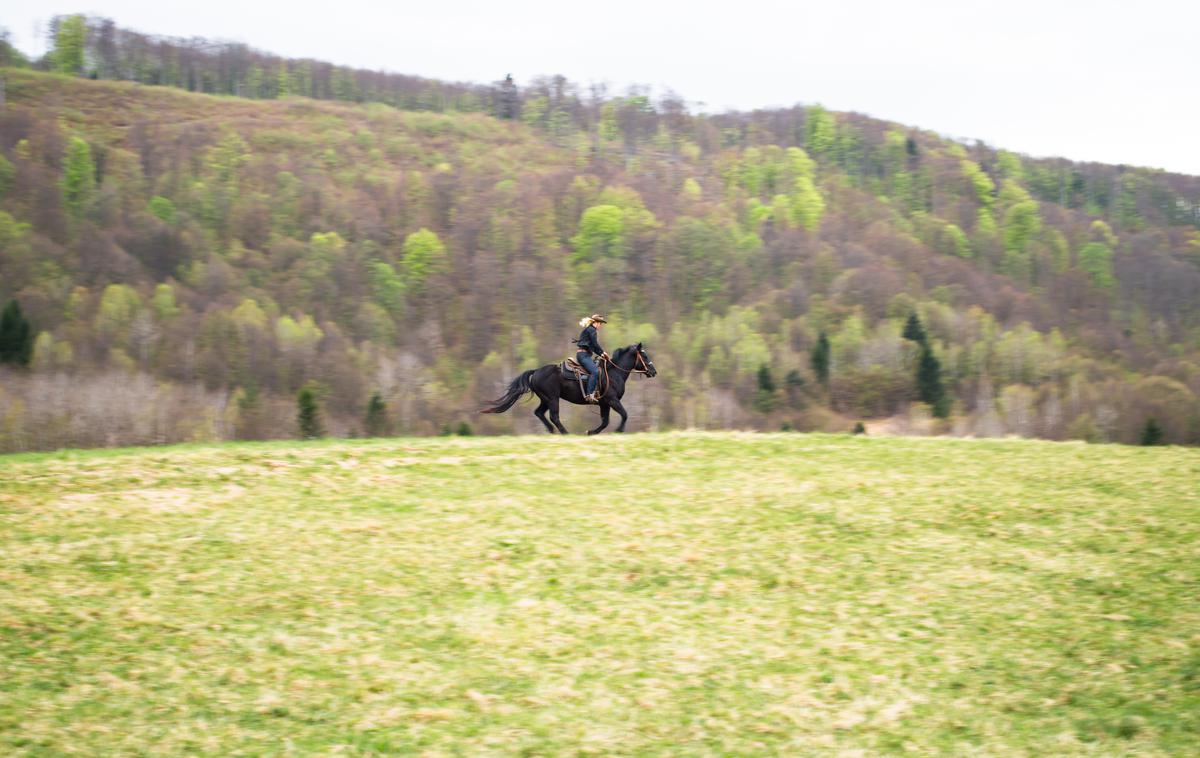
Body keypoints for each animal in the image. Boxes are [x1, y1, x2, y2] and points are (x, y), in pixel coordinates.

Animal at [480, 343, 657, 431]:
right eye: (644, 355)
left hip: (546, 399)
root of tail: (536, 371)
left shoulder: (604, 403)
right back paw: (564, 433)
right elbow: (625, 414)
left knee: (539, 413)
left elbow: (605, 422)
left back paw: (552, 431)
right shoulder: (612, 400)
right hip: (552, 398)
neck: (614, 374)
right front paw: (618, 430)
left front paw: (591, 432)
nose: (653, 371)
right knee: (554, 417)